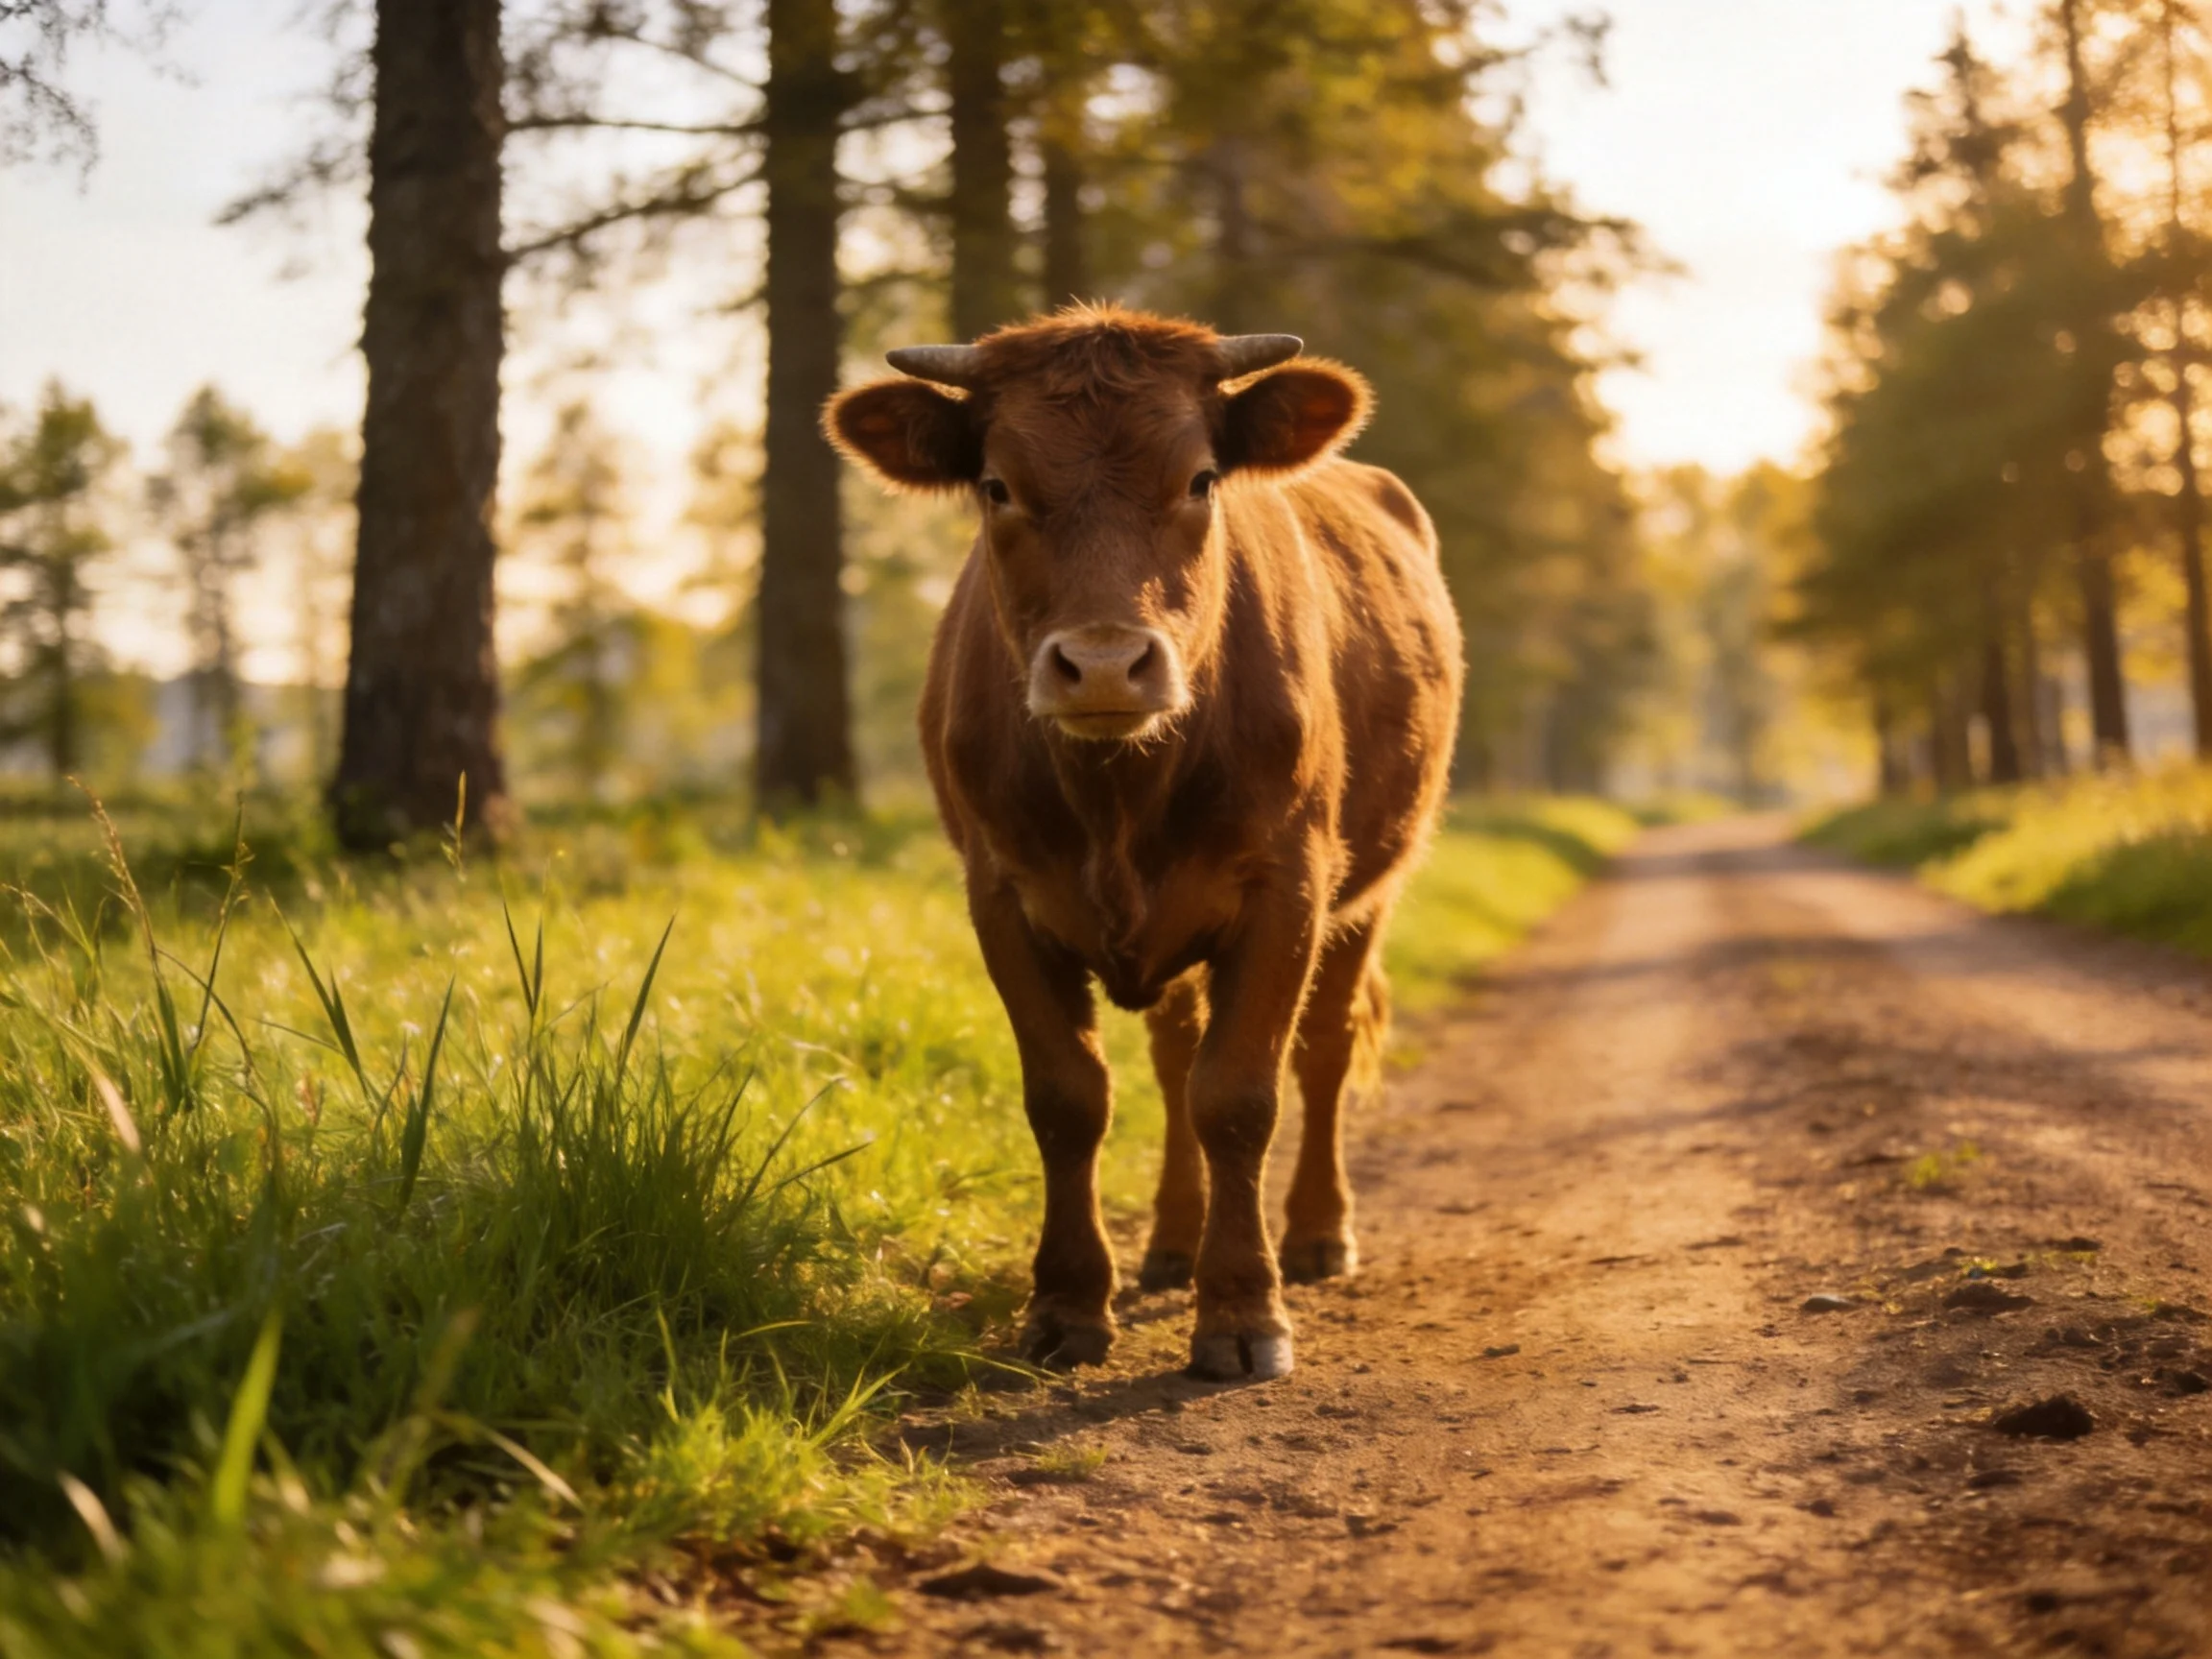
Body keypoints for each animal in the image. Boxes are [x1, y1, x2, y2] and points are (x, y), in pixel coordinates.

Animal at [825, 304, 1463, 1380]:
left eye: (1200, 479)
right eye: (998, 484)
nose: (1103, 664)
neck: (1118, 790)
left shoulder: (1287, 888)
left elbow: (1241, 1095)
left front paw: (1243, 1312)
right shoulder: (1002, 896)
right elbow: (1070, 1098)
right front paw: (1068, 1303)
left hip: (1370, 889)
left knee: (1324, 1049)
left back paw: (1318, 1233)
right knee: (1174, 1059)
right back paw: (1170, 1242)